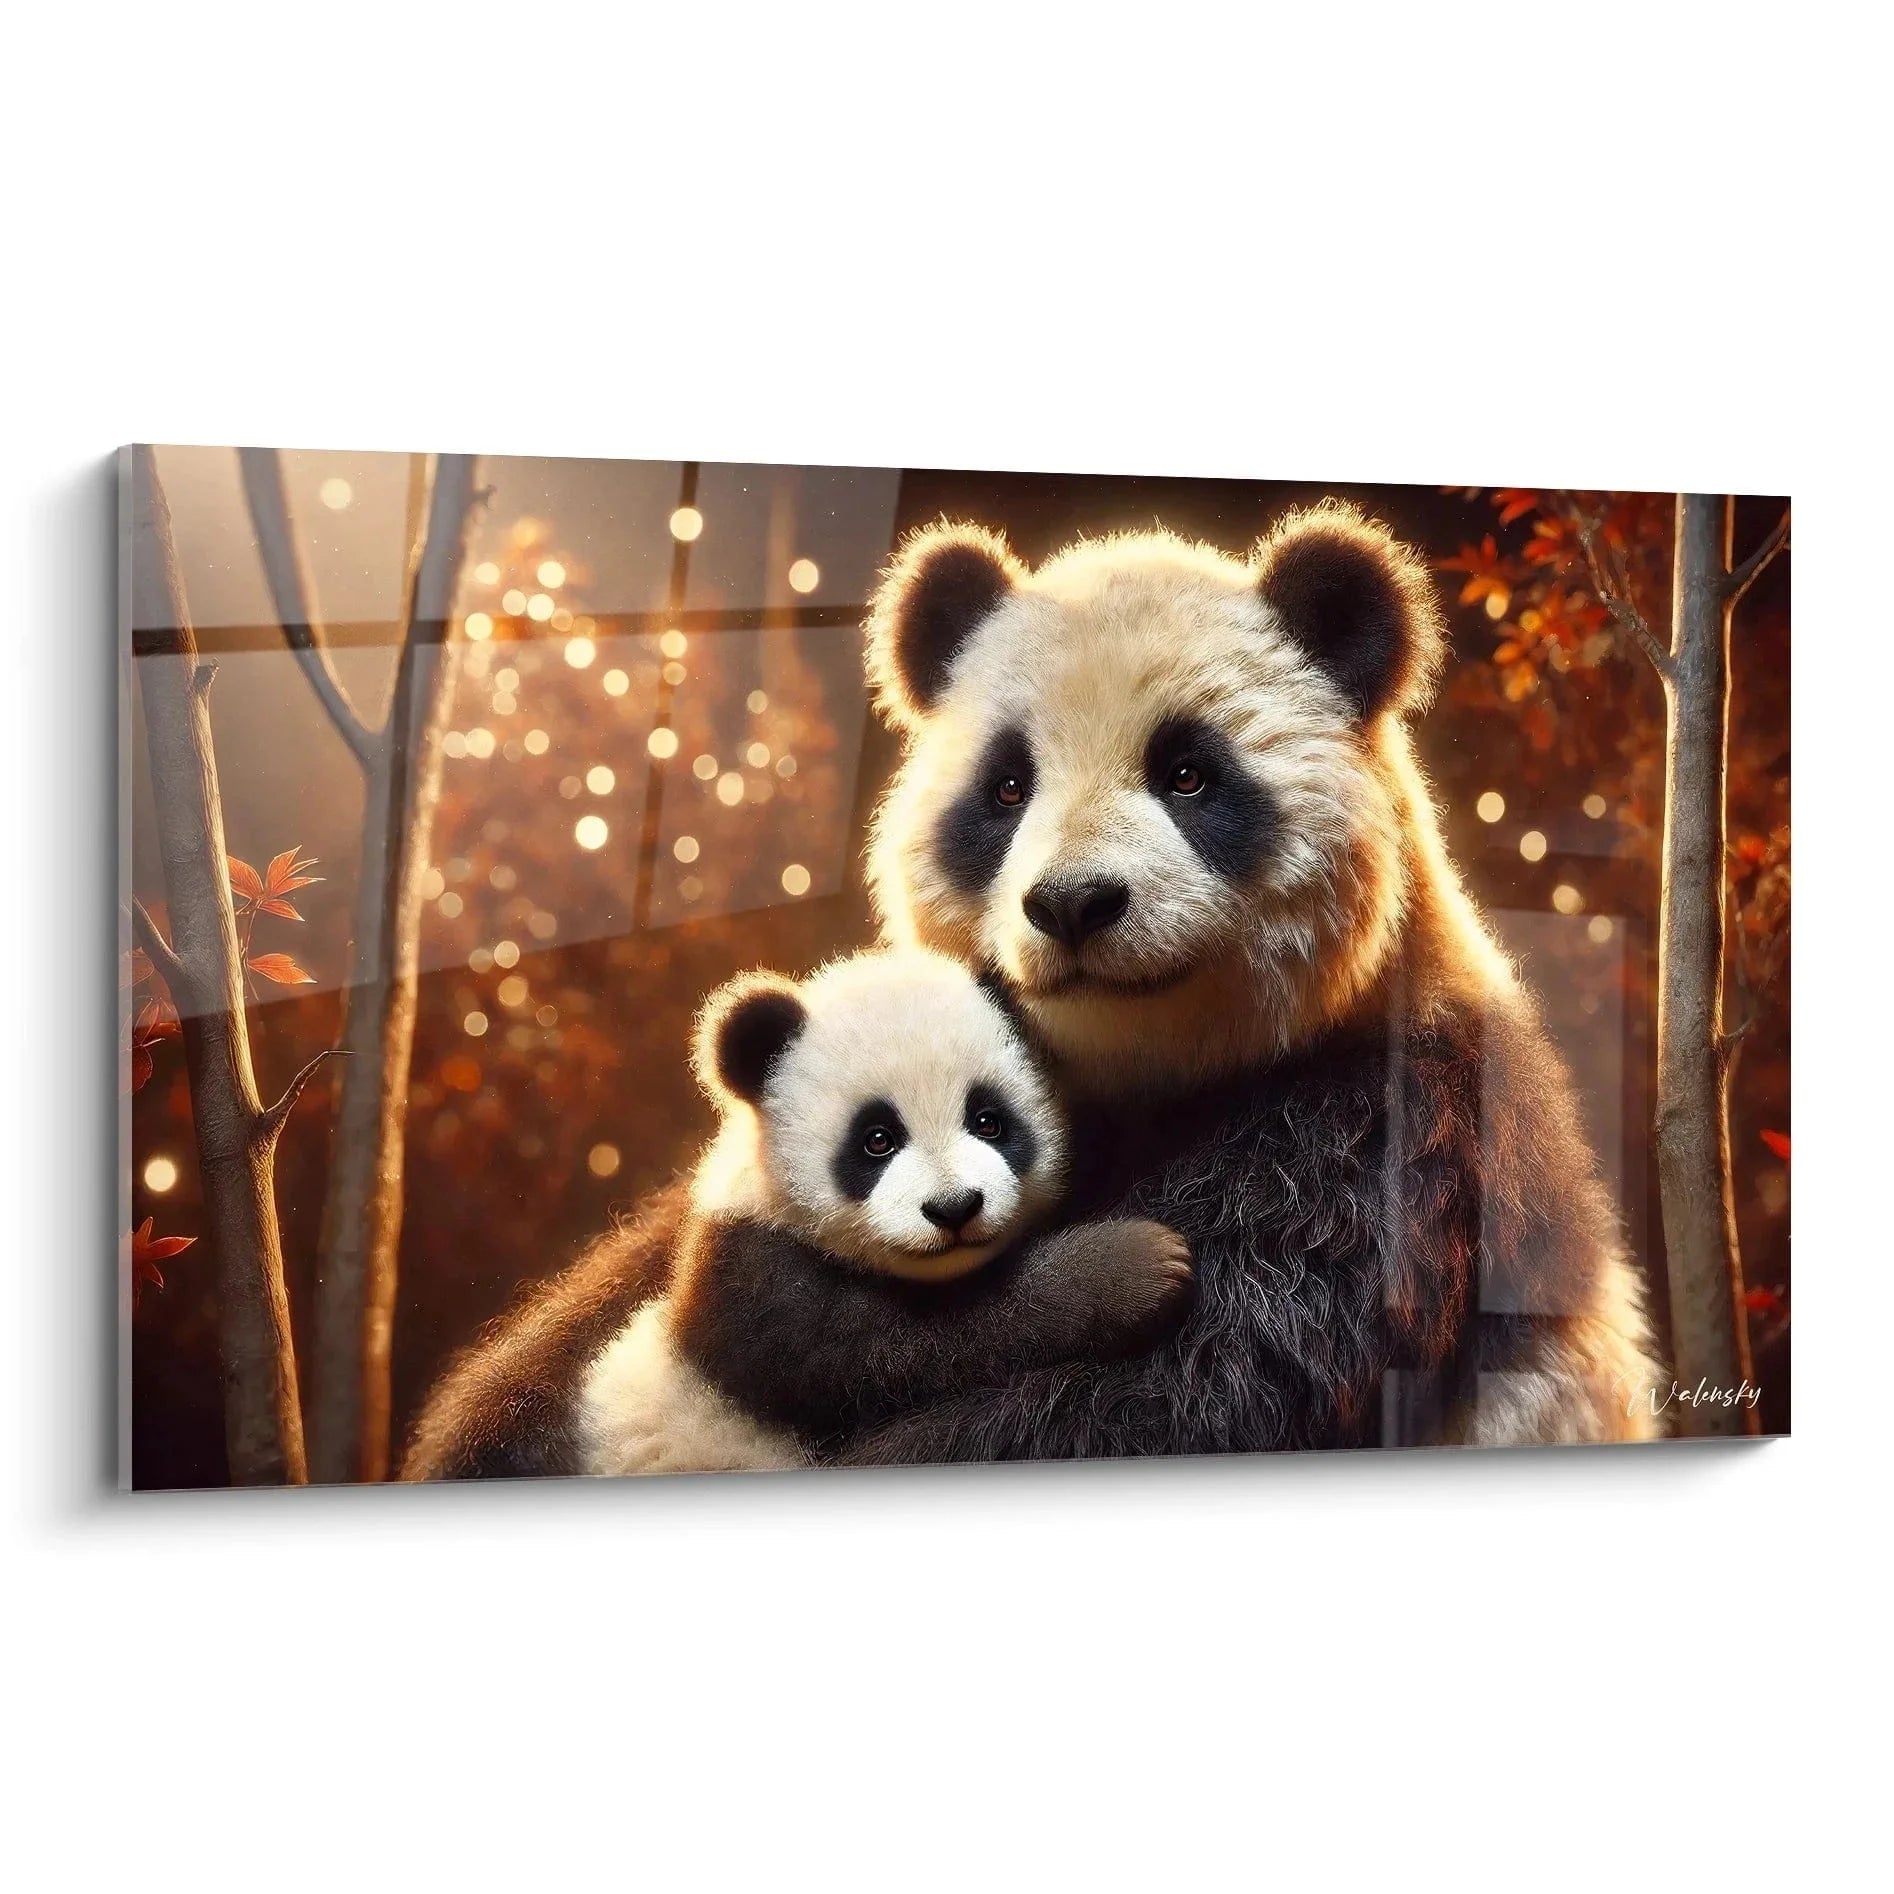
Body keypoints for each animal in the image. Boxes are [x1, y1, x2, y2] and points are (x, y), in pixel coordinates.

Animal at [402, 949, 1192, 1480]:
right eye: (876, 1140)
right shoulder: (744, 1274)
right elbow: (878, 1348)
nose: (954, 1209)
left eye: (989, 1119)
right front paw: (1134, 1268)